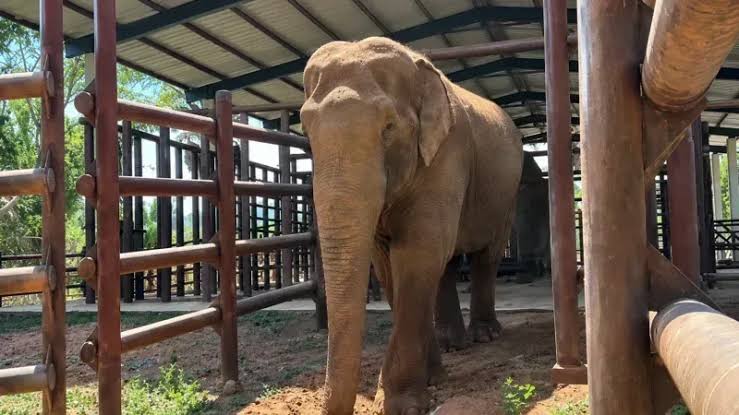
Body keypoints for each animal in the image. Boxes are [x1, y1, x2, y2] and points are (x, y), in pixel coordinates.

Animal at [300, 37, 523, 415]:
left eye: (389, 127)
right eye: (304, 129)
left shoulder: (448, 153)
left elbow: (418, 252)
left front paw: (402, 404)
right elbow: (390, 263)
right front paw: (433, 380)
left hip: (506, 194)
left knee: (486, 256)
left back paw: (485, 335)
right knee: (446, 265)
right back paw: (452, 346)